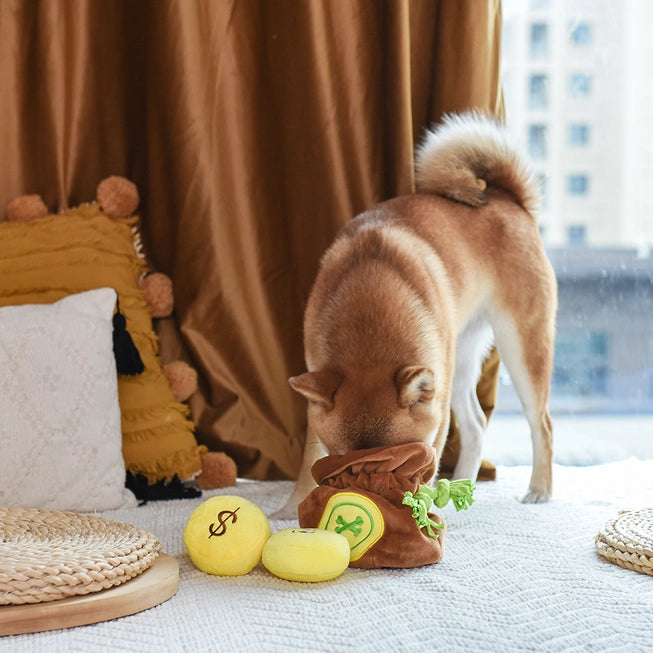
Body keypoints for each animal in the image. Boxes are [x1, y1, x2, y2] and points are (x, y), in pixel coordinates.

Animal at [276, 112, 556, 520]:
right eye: (341, 465)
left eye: (398, 463)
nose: (367, 498)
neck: (369, 332)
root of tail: (507, 198)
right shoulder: (320, 388)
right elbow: (308, 459)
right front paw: (290, 507)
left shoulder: (434, 415)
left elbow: (433, 458)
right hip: (461, 359)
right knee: (476, 425)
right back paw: (462, 488)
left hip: (519, 346)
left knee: (541, 424)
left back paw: (538, 490)